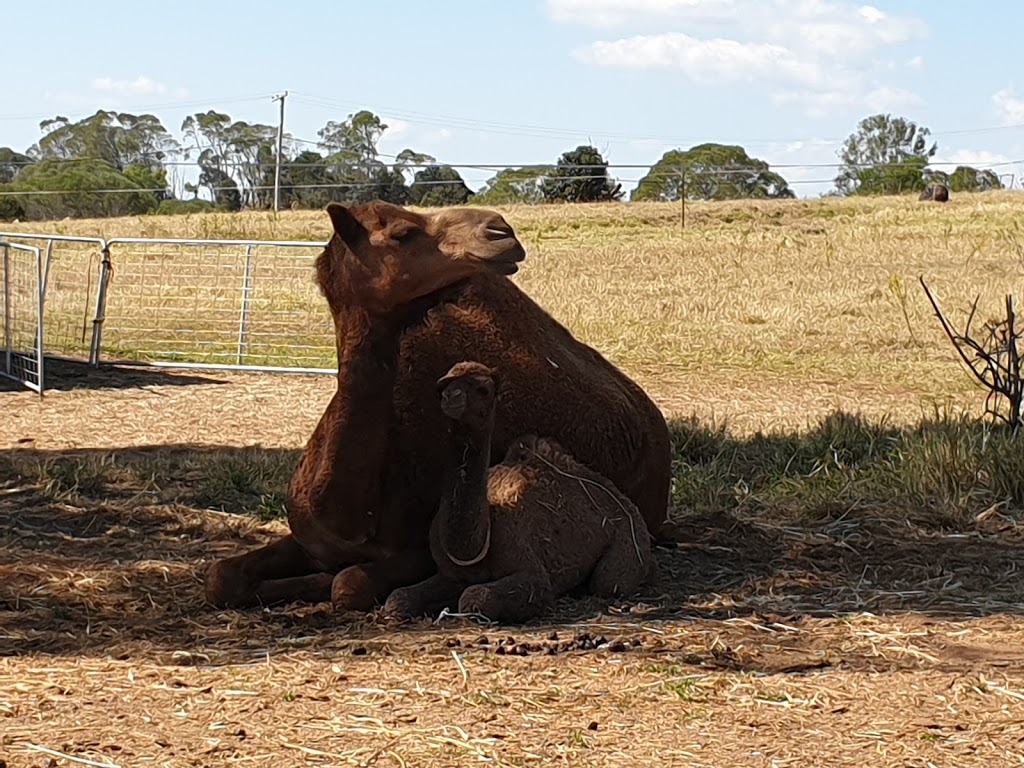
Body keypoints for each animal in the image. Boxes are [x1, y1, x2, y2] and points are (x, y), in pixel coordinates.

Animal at [385, 362, 655, 626]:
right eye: (444, 385)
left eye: (483, 389)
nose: (451, 398)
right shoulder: (450, 574)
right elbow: (398, 599)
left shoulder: (530, 571)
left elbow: (475, 598)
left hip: (630, 536)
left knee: (609, 582)